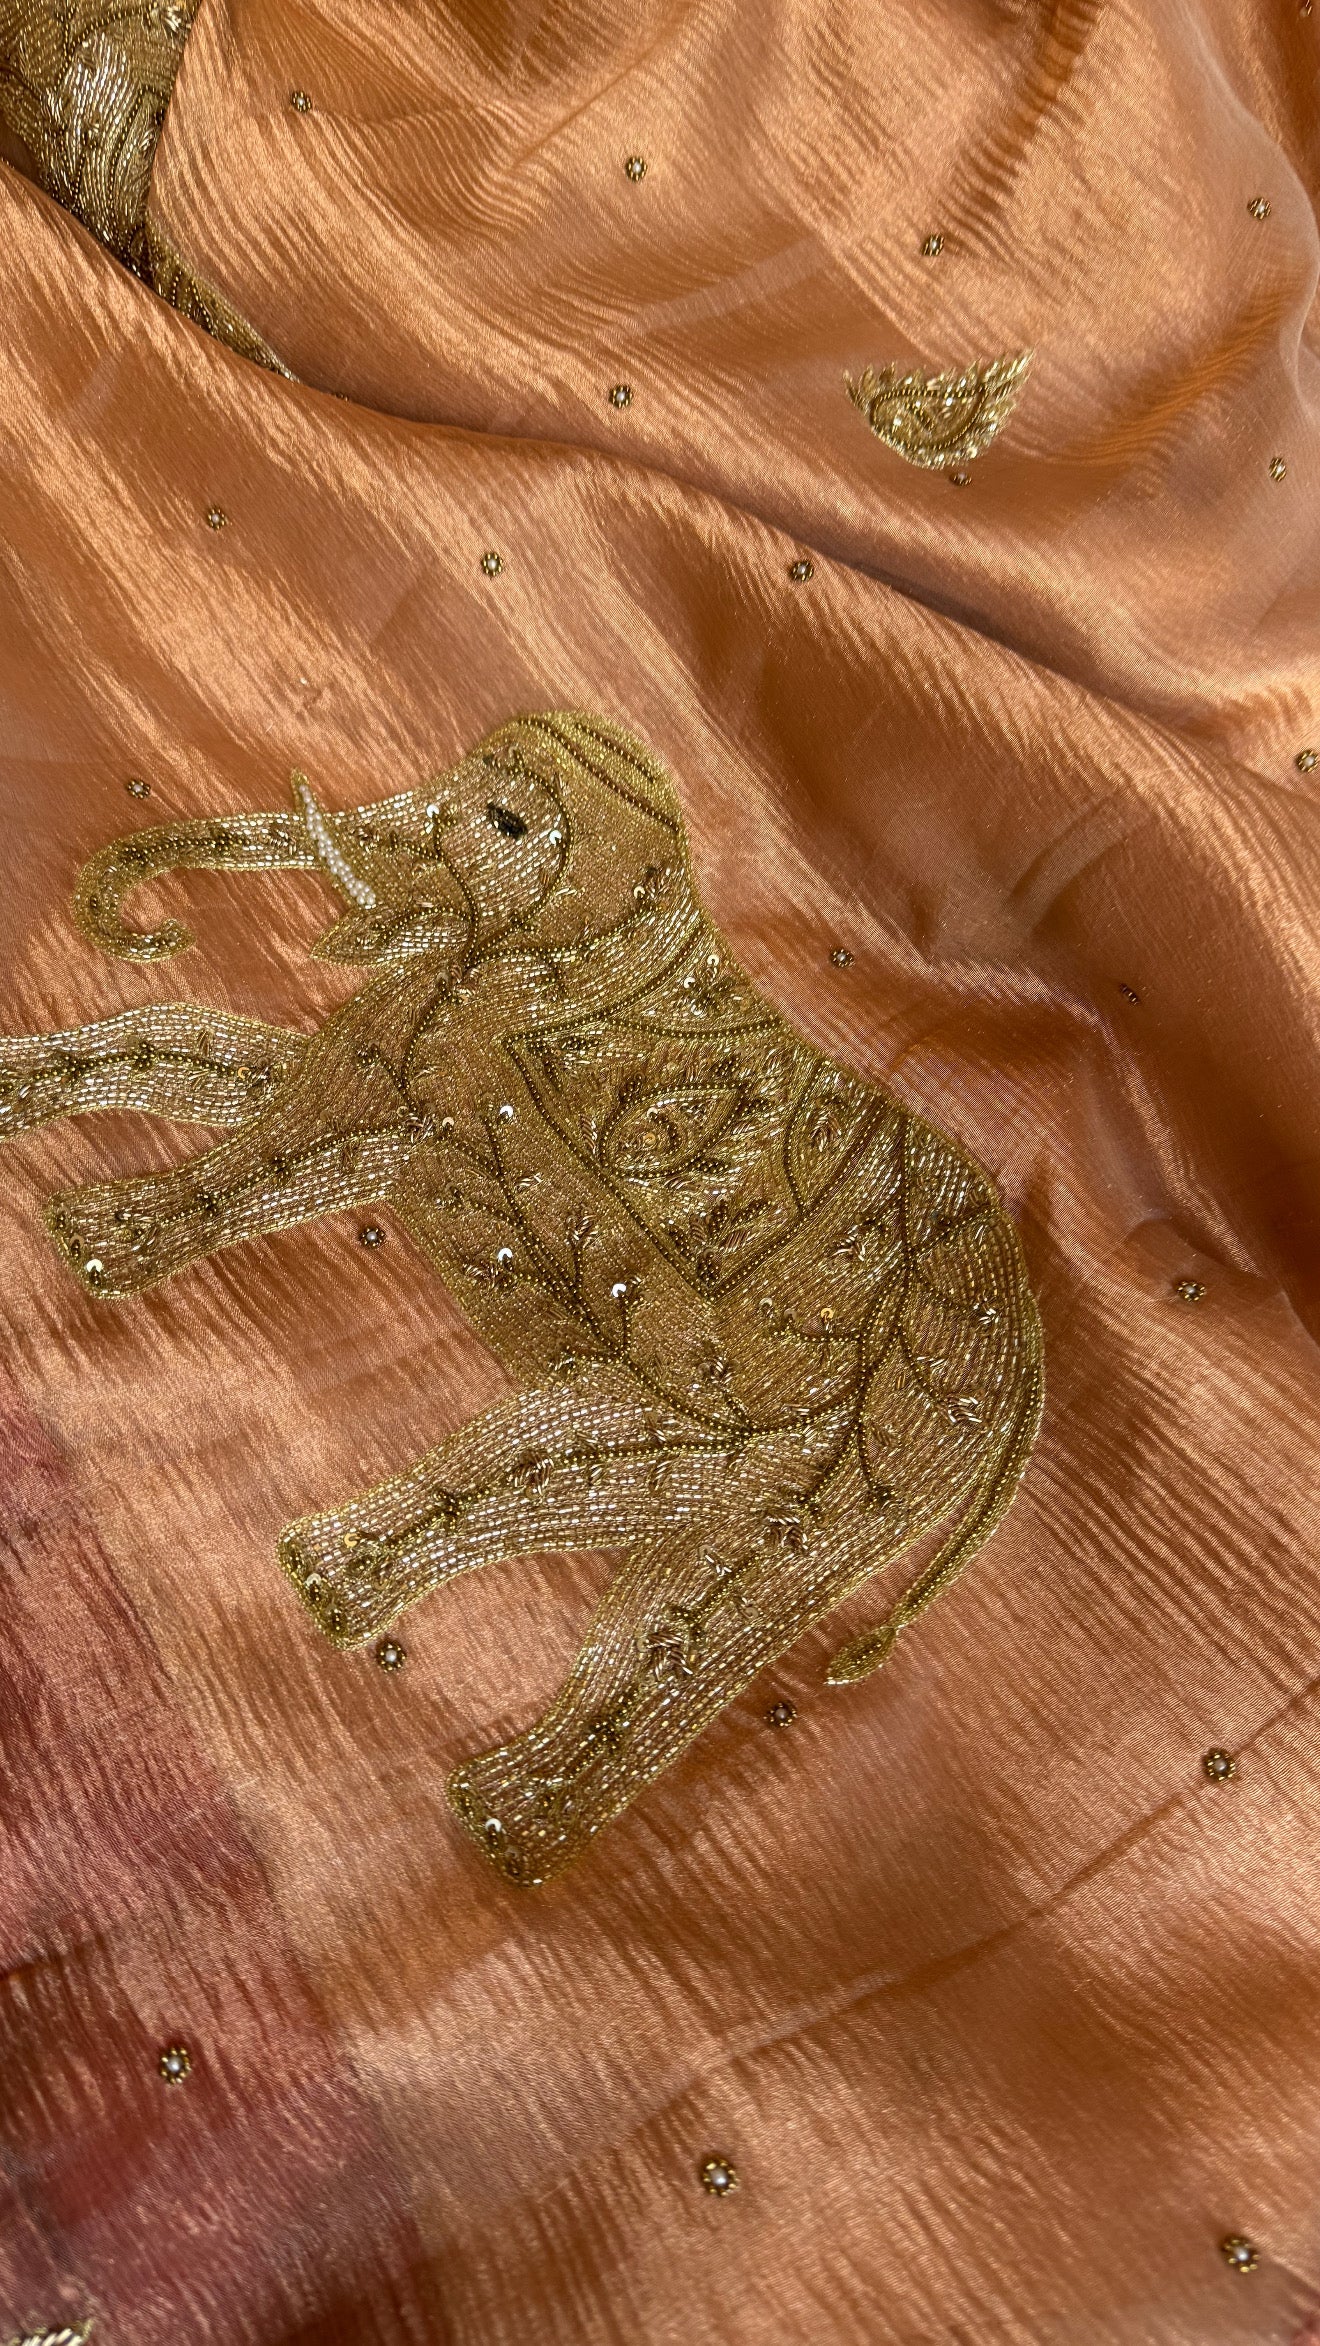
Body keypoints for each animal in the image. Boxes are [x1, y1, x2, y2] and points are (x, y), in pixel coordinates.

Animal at [0, 711, 1043, 1884]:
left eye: (506, 821)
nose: (158, 928)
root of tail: (1026, 1372)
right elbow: (269, 1083)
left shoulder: (477, 1019)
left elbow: (312, 1119)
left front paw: (94, 1244)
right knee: (674, 1514)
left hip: (906, 1390)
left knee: (717, 1538)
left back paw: (468, 1776)